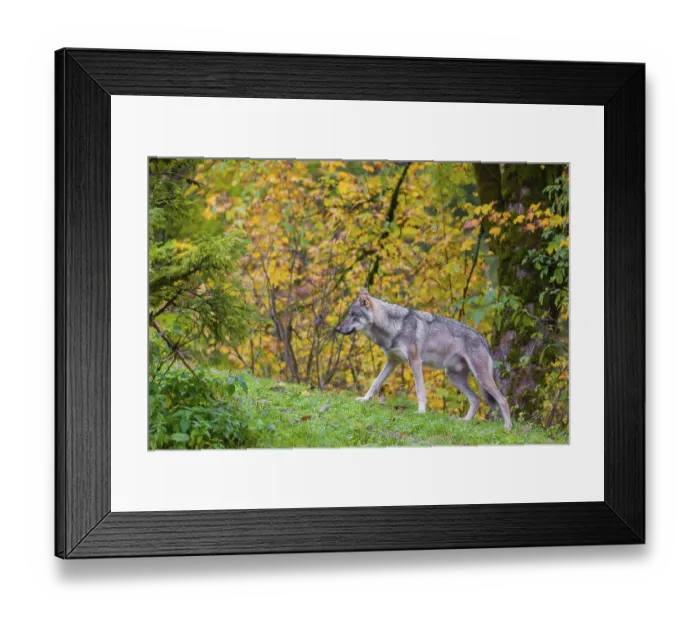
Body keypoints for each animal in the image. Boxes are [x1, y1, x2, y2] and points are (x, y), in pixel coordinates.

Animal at [336, 289, 512, 430]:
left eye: (352, 315)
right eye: (348, 314)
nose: (337, 329)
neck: (393, 326)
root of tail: (483, 338)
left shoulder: (414, 361)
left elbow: (420, 391)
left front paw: (421, 412)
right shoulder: (393, 361)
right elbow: (375, 383)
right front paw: (365, 399)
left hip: (480, 377)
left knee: (502, 399)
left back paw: (507, 427)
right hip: (454, 377)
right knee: (476, 400)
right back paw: (464, 422)